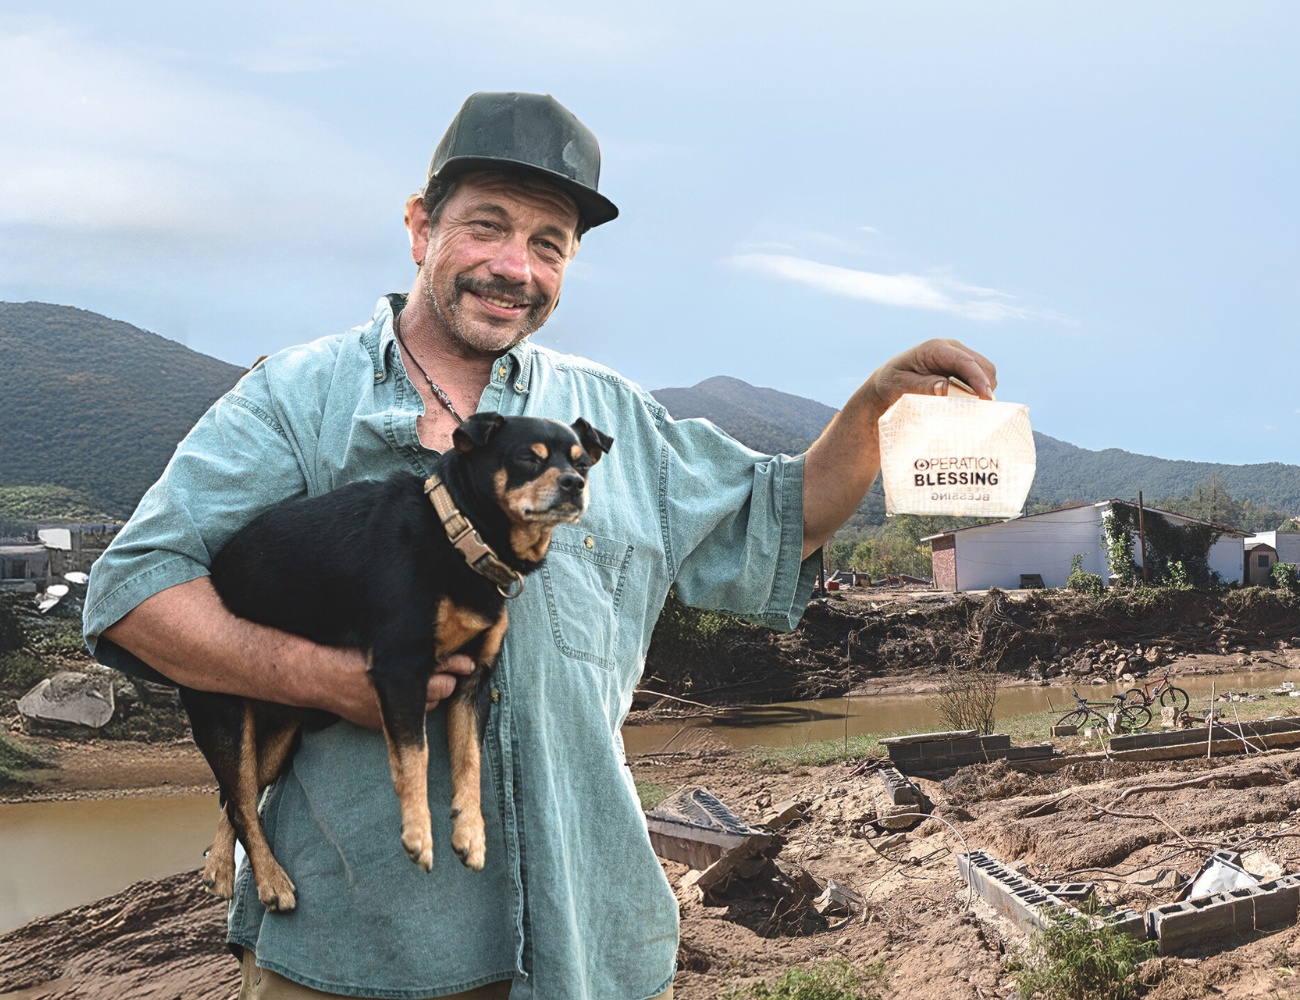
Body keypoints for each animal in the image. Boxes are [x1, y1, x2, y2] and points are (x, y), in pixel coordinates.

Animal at [176, 410, 613, 910]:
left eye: (583, 464)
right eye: (528, 459)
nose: (574, 484)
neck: (461, 534)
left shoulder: (472, 683)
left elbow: (469, 762)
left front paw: (470, 834)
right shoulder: (403, 669)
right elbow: (415, 756)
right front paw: (418, 834)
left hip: (278, 738)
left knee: (236, 798)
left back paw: (219, 867)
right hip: (226, 722)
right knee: (243, 802)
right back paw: (271, 880)